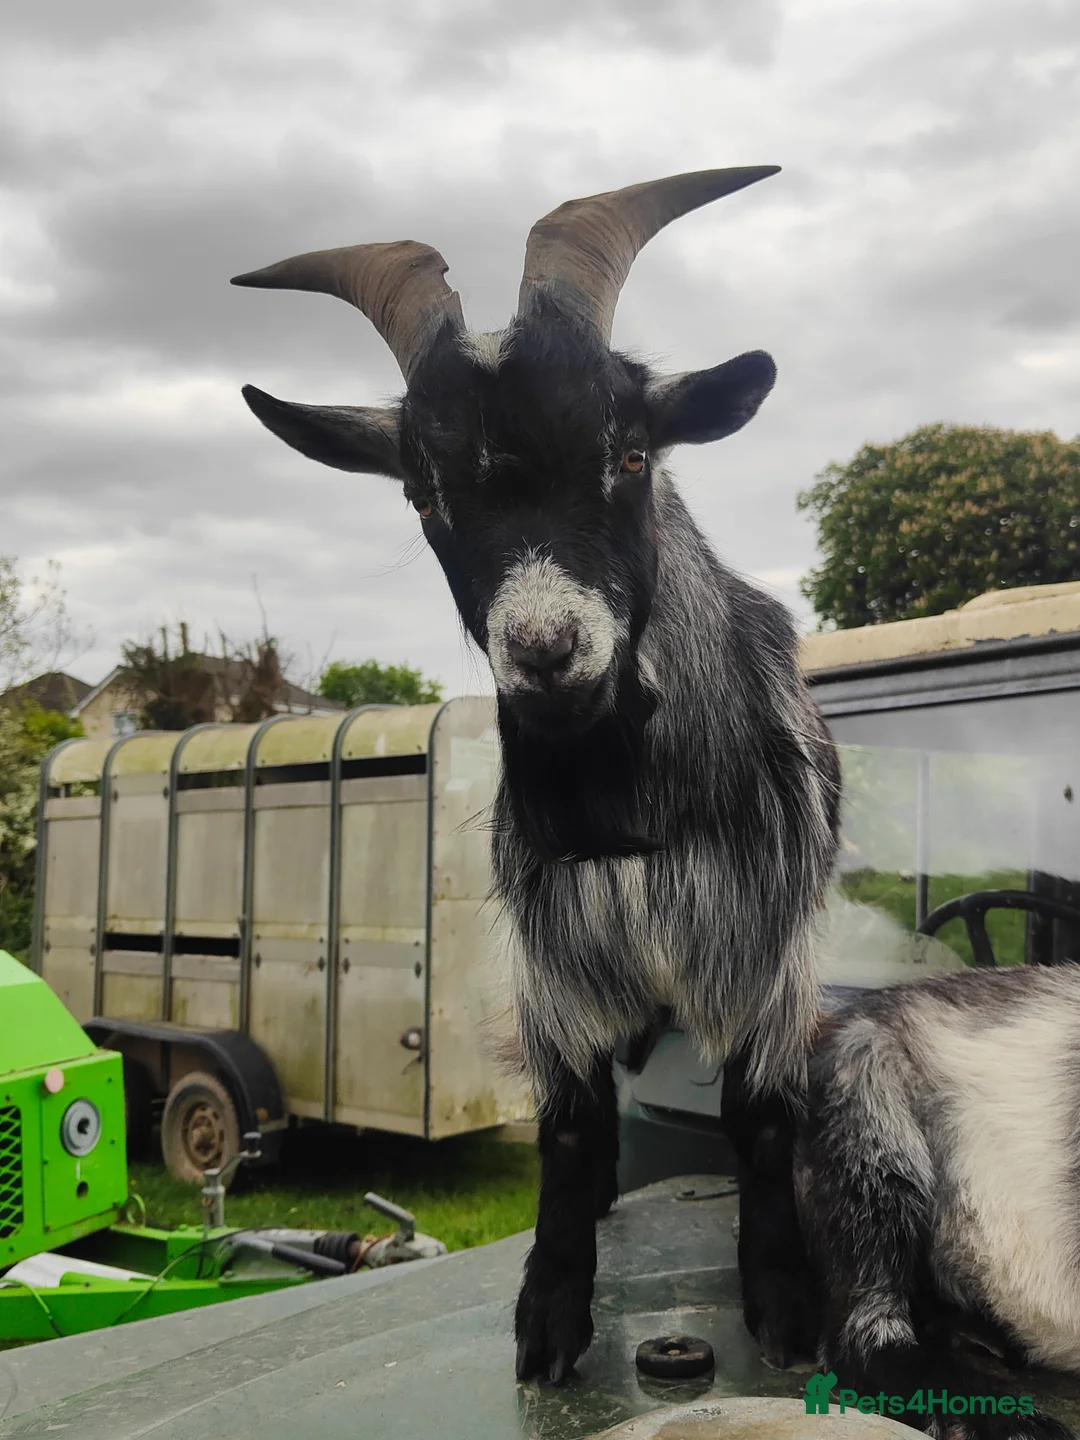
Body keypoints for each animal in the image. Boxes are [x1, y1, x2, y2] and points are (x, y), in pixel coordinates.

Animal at [230, 167, 841, 1383]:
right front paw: (550, 1312)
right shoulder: (551, 961)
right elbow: (564, 1128)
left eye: (632, 452)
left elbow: (760, 1117)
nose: (548, 652)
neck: (626, 814)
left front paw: (785, 1303)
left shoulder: (763, 947)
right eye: (422, 494)